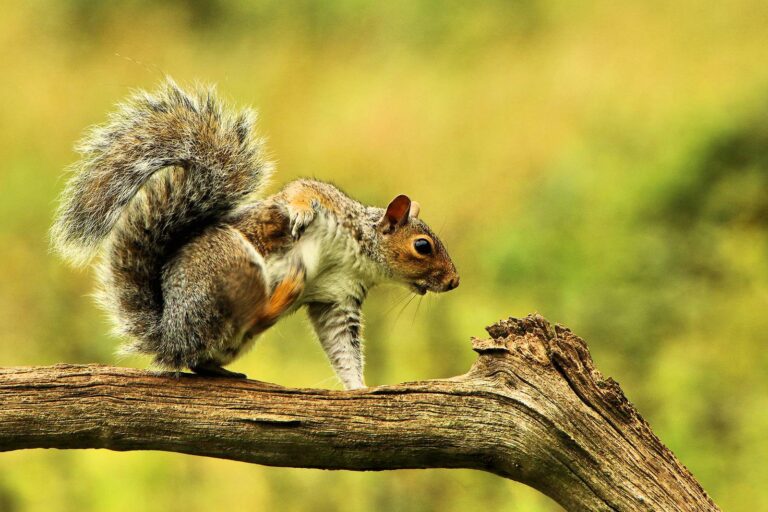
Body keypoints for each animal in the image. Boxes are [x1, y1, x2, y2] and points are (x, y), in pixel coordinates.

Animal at [51, 79, 459, 390]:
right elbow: (299, 194)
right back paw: (287, 288)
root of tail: (169, 335)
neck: (357, 255)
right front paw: (298, 212)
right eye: (422, 246)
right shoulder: (324, 201)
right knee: (246, 318)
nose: (454, 281)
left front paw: (358, 387)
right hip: (234, 265)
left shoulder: (338, 299)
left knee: (207, 356)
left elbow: (342, 347)